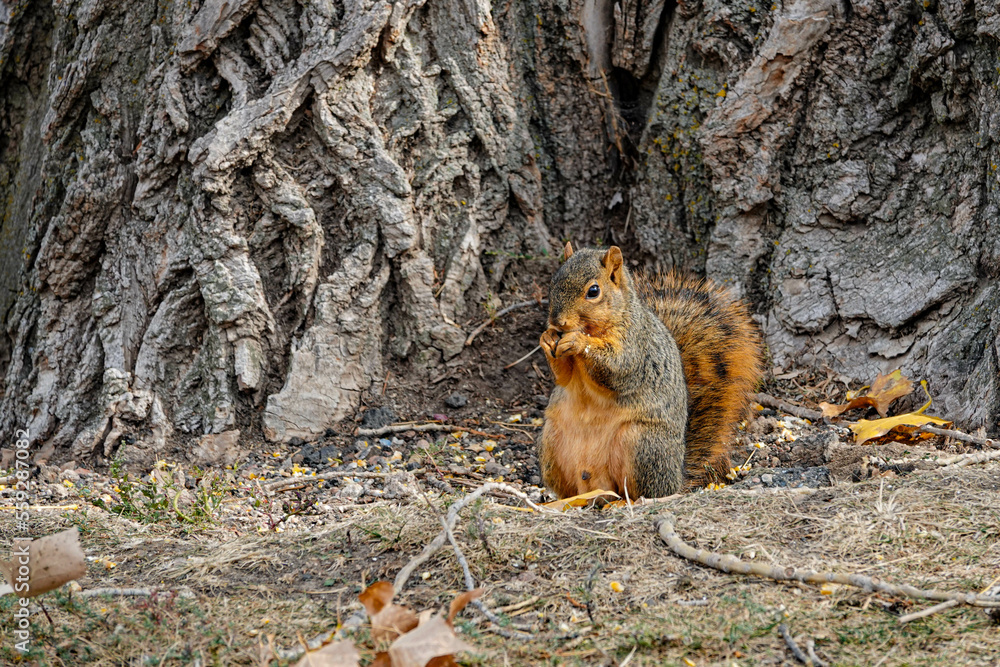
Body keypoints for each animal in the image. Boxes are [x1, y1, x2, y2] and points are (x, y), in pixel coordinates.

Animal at [538, 242, 763, 500]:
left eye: (593, 291)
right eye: (553, 282)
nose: (557, 322)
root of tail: (677, 478)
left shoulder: (636, 346)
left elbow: (617, 370)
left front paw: (576, 340)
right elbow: (563, 377)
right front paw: (547, 338)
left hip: (641, 444)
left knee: (640, 493)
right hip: (551, 443)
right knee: (574, 491)